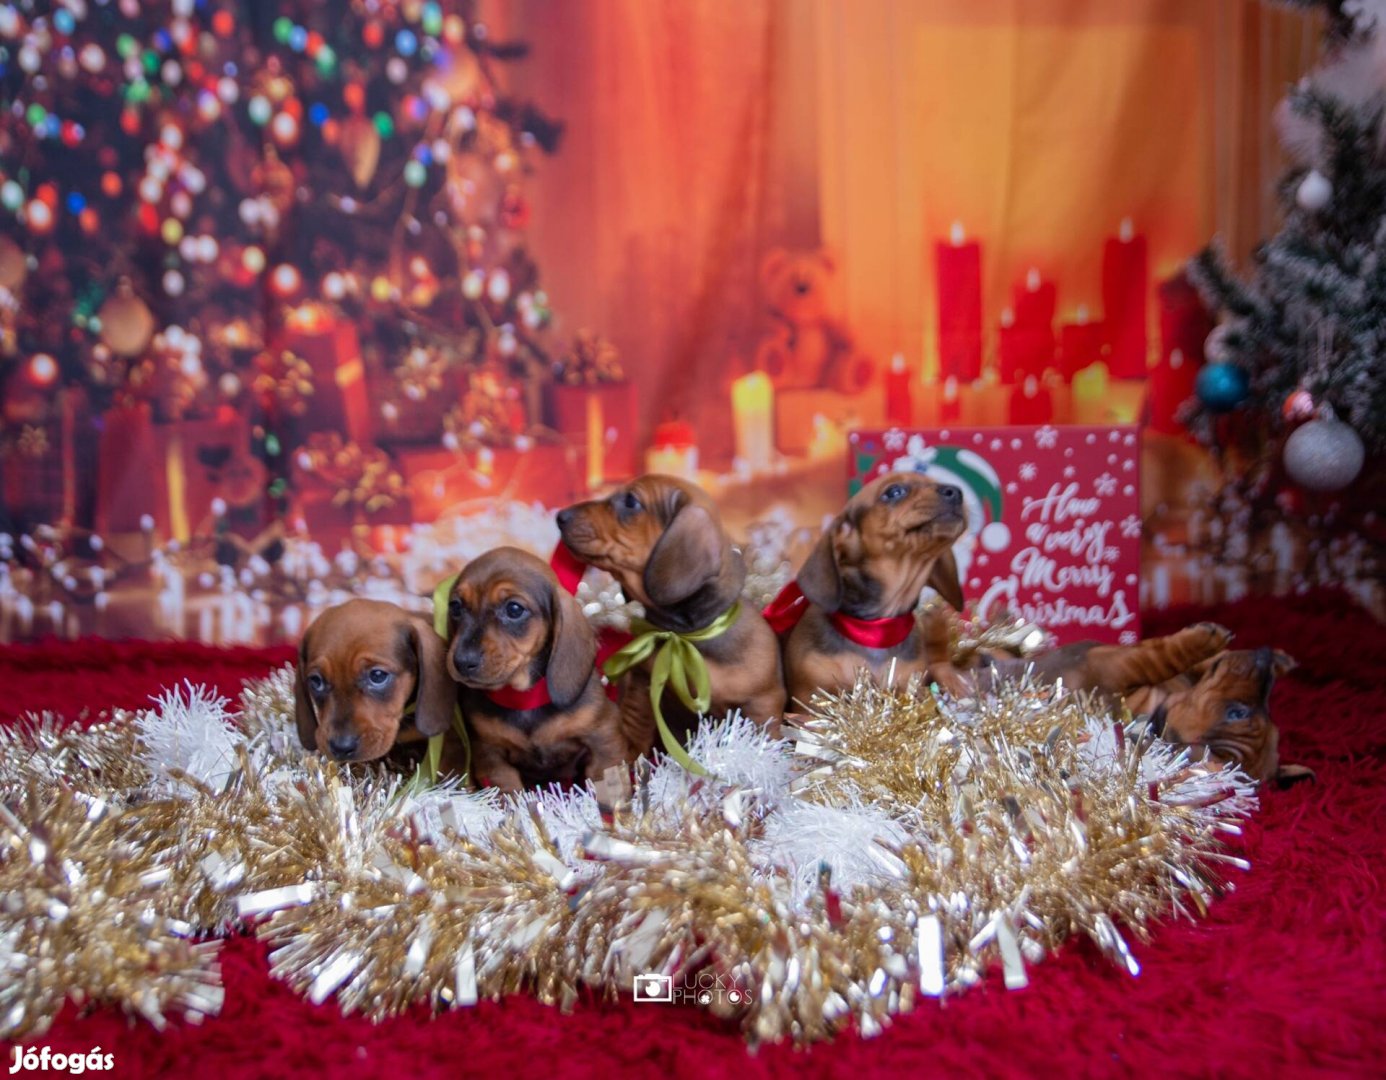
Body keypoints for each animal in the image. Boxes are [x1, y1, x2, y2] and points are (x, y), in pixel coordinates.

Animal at [443, 546, 629, 787]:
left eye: (514, 609)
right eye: (455, 607)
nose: (462, 662)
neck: (525, 699)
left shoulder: (604, 739)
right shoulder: (491, 756)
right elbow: (508, 792)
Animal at [781, 468, 964, 704]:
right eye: (894, 491)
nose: (956, 492)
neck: (875, 629)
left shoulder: (907, 687)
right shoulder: (808, 698)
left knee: (941, 661)